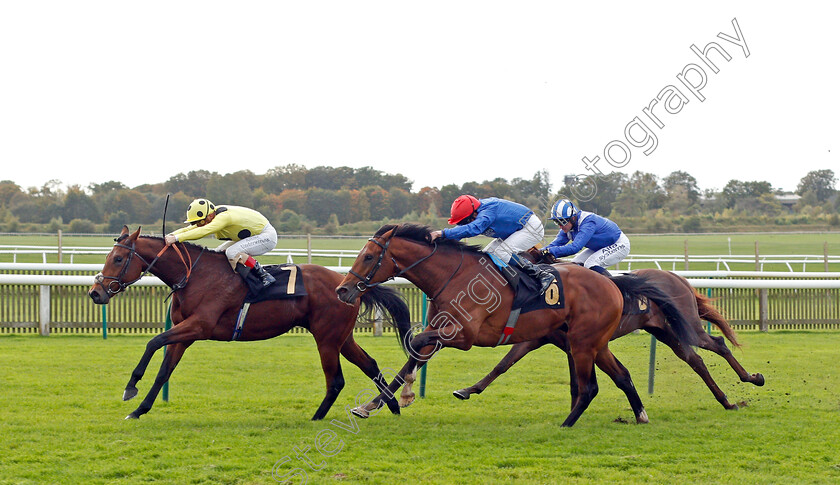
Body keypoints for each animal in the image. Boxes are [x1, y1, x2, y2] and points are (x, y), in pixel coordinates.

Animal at [88, 227, 410, 420]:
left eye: (118, 259)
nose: (95, 292)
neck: (194, 275)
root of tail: (349, 285)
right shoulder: (185, 334)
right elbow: (164, 372)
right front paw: (139, 410)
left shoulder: (200, 325)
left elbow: (152, 341)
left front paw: (130, 387)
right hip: (341, 337)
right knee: (369, 364)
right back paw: (390, 406)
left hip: (327, 339)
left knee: (336, 380)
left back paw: (318, 417)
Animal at [332, 225, 700, 426]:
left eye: (368, 257)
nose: (343, 290)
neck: (453, 276)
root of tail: (613, 283)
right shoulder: (443, 330)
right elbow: (414, 354)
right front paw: (372, 405)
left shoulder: (463, 336)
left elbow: (416, 344)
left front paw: (406, 393)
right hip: (592, 342)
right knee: (621, 375)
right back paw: (640, 414)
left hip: (583, 343)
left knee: (590, 387)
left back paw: (566, 424)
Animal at [452, 264, 768, 408]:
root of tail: (678, 277)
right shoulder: (544, 339)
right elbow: (502, 365)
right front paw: (467, 389)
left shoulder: (571, 342)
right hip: (666, 331)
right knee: (696, 360)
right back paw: (726, 400)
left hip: (687, 323)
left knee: (718, 344)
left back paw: (752, 378)